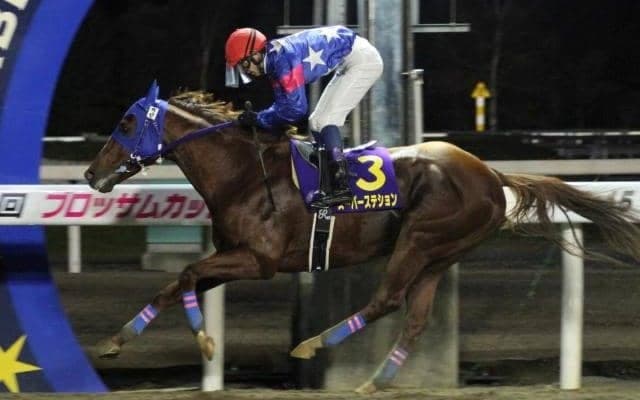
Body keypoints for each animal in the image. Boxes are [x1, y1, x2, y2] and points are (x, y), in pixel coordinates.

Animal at [84, 84, 640, 393]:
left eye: (127, 122)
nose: (91, 174)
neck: (242, 172)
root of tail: (490, 174)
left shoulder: (258, 260)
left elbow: (185, 273)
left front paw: (204, 341)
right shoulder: (231, 255)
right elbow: (176, 283)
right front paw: (115, 340)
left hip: (420, 237)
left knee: (387, 300)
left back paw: (313, 345)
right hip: (442, 252)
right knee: (413, 320)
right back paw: (374, 382)